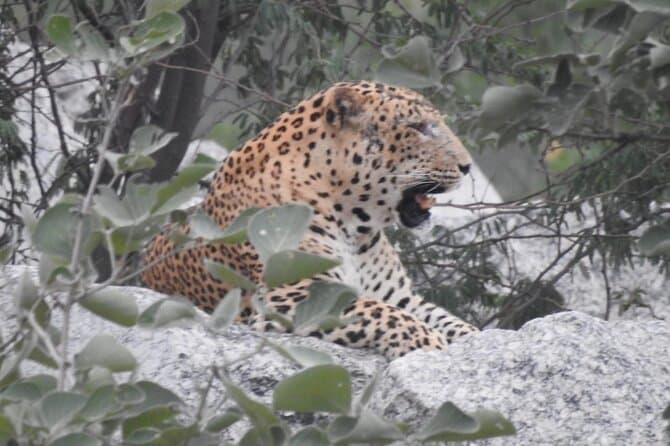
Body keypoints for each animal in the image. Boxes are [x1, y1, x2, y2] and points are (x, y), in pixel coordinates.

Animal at [142, 81, 479, 359]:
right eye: (419, 127)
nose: (467, 166)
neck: (356, 227)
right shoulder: (291, 294)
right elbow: (379, 312)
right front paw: (431, 344)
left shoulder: (402, 297)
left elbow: (447, 320)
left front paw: (470, 340)